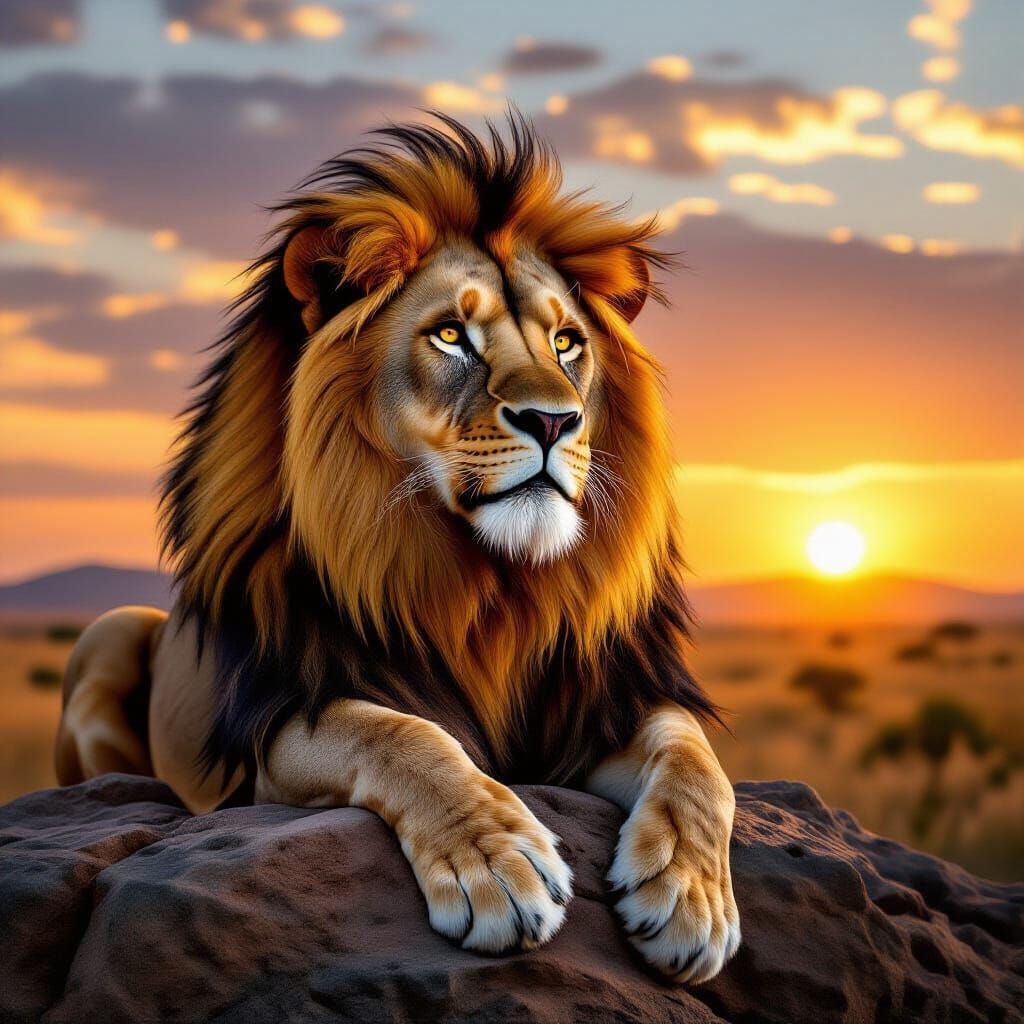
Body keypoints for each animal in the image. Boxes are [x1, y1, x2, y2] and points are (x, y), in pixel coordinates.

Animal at [56, 114, 740, 984]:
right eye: (451, 335)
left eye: (567, 343)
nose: (556, 420)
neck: (490, 586)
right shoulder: (284, 719)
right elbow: (405, 736)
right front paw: (499, 867)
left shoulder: (601, 702)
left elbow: (694, 760)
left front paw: (691, 896)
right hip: (112, 631)